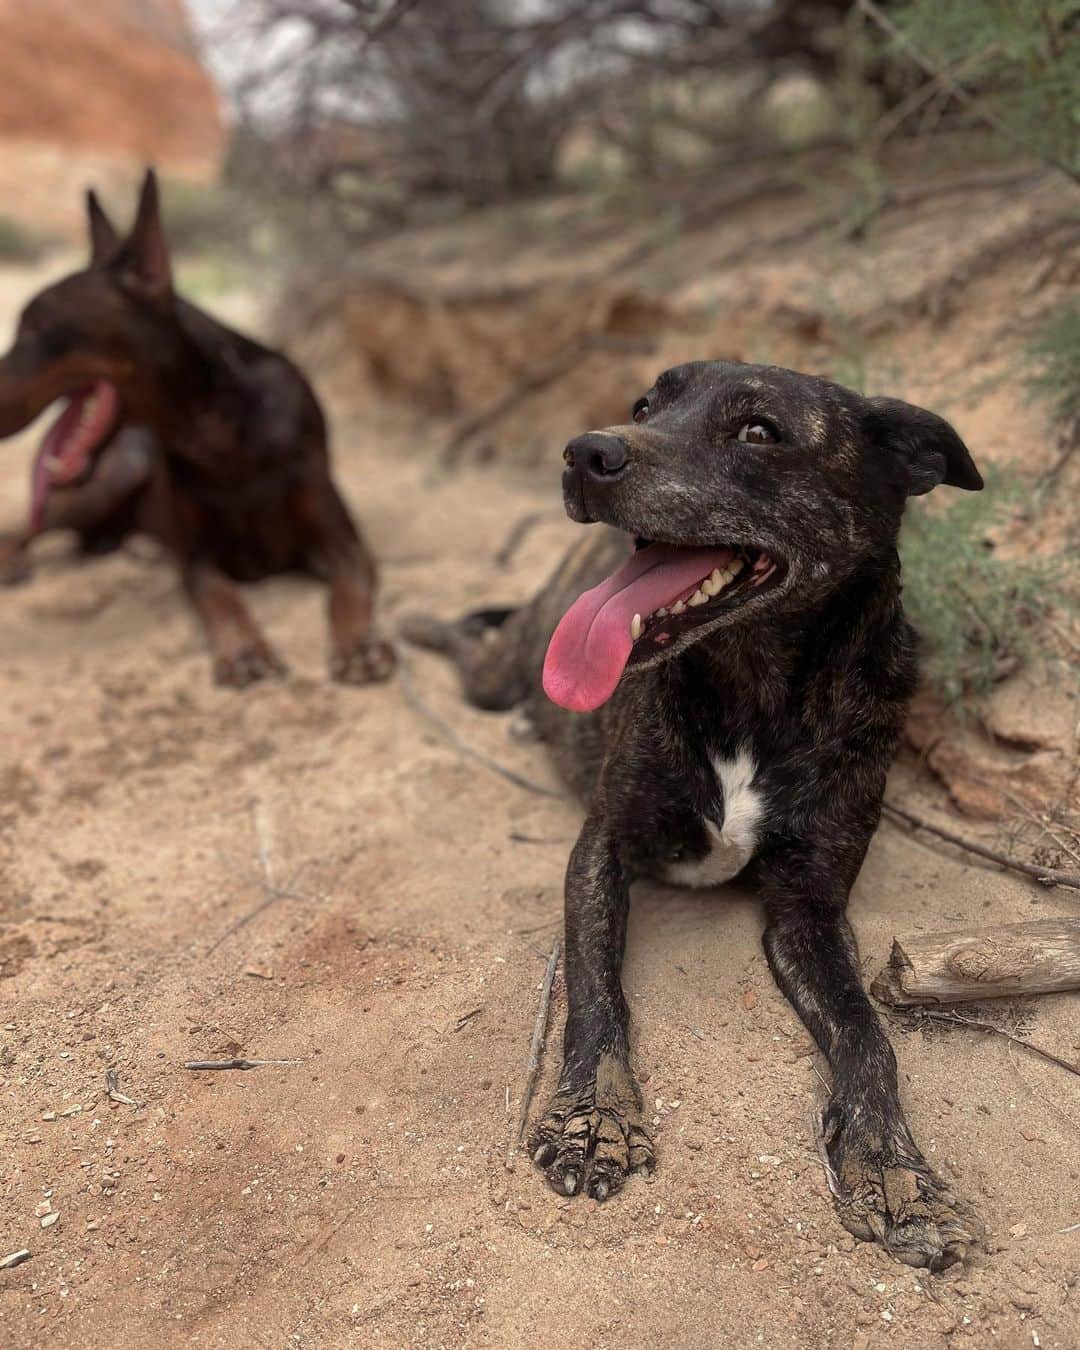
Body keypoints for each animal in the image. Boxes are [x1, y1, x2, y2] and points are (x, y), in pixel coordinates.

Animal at [0, 171, 391, 685]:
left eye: (37, 328)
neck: (217, 429)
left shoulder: (340, 540)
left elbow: (348, 587)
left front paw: (360, 644)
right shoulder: (200, 557)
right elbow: (219, 596)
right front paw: (242, 648)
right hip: (112, 477)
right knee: (25, 527)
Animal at [405, 356, 988, 1263]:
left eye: (758, 431)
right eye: (647, 405)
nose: (586, 451)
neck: (752, 689)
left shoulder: (809, 906)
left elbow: (867, 1033)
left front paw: (897, 1170)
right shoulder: (602, 847)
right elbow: (595, 990)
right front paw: (594, 1118)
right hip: (503, 666)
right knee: (476, 640)